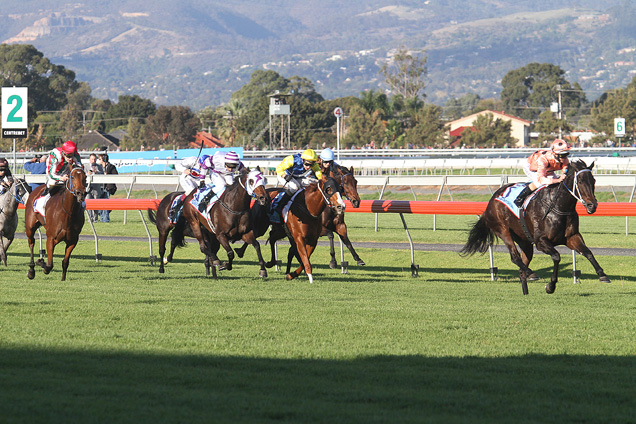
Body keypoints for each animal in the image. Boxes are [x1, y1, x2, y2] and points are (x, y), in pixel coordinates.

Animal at [462, 161, 612, 296]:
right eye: (580, 181)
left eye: (593, 180)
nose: (592, 205)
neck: (558, 207)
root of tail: (491, 201)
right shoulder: (541, 241)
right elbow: (556, 257)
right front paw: (550, 286)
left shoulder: (572, 237)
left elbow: (588, 253)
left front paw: (602, 275)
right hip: (502, 230)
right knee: (515, 257)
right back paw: (532, 273)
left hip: (524, 241)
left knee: (522, 266)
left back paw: (526, 291)